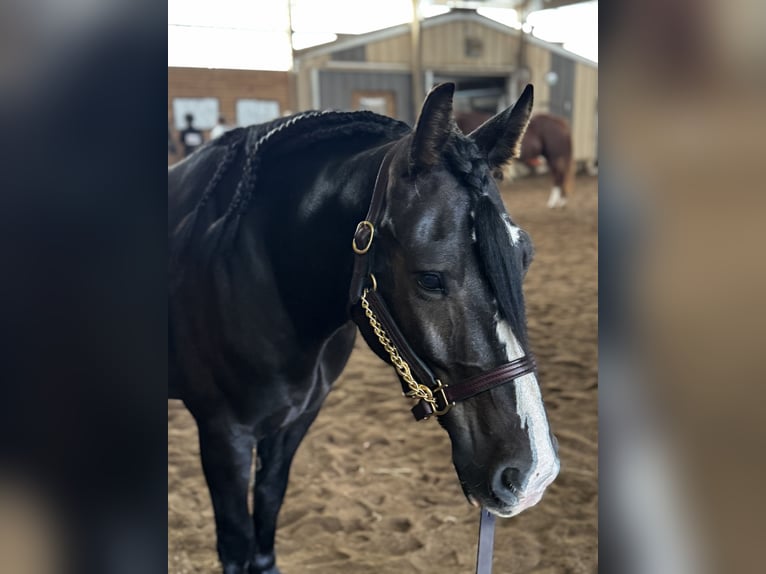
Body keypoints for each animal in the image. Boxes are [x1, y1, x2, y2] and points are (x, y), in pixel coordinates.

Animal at [168, 83, 560, 574]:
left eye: (524, 257)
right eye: (430, 279)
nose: (533, 475)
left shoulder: (293, 424)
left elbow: (268, 516)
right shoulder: (224, 438)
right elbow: (237, 544)